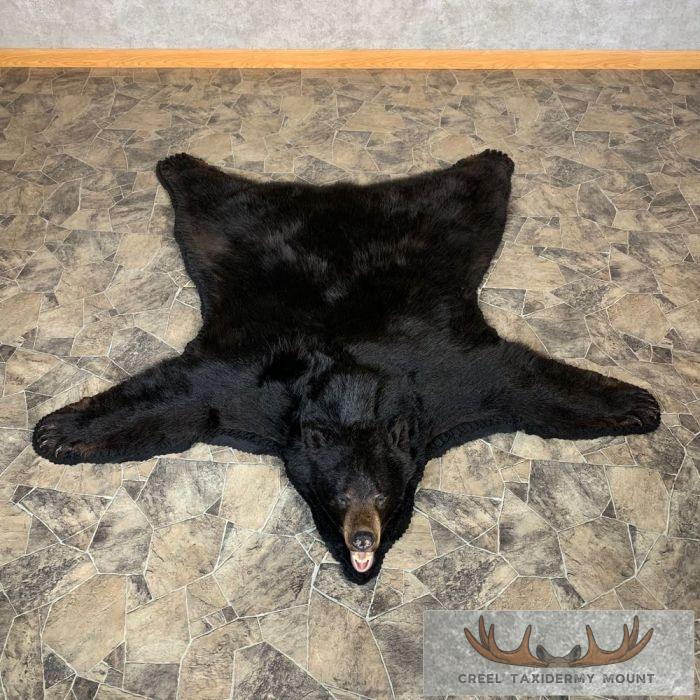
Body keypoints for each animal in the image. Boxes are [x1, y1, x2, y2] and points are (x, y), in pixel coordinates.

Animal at [33, 150, 660, 584]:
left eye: (380, 499)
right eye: (339, 500)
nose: (362, 540)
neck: (355, 383)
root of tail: (337, 195)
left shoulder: (455, 379)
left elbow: (523, 383)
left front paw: (637, 403)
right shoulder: (248, 387)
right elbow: (179, 397)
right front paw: (59, 430)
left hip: (441, 226)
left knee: (469, 193)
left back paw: (490, 159)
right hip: (234, 225)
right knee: (211, 199)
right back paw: (180, 164)